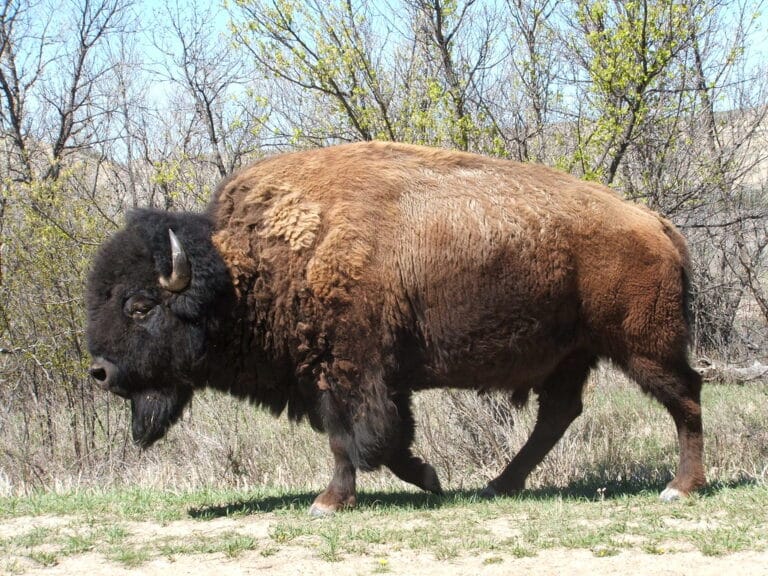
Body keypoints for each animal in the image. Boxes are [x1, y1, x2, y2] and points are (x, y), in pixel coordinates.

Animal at [86, 142, 705, 515]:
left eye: (139, 305)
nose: (100, 372)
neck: (250, 265)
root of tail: (656, 224)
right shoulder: (359, 379)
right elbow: (383, 439)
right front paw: (429, 477)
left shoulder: (347, 373)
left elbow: (352, 438)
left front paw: (328, 501)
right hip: (573, 355)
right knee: (559, 415)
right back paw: (499, 485)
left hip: (643, 346)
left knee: (685, 397)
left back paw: (681, 488)